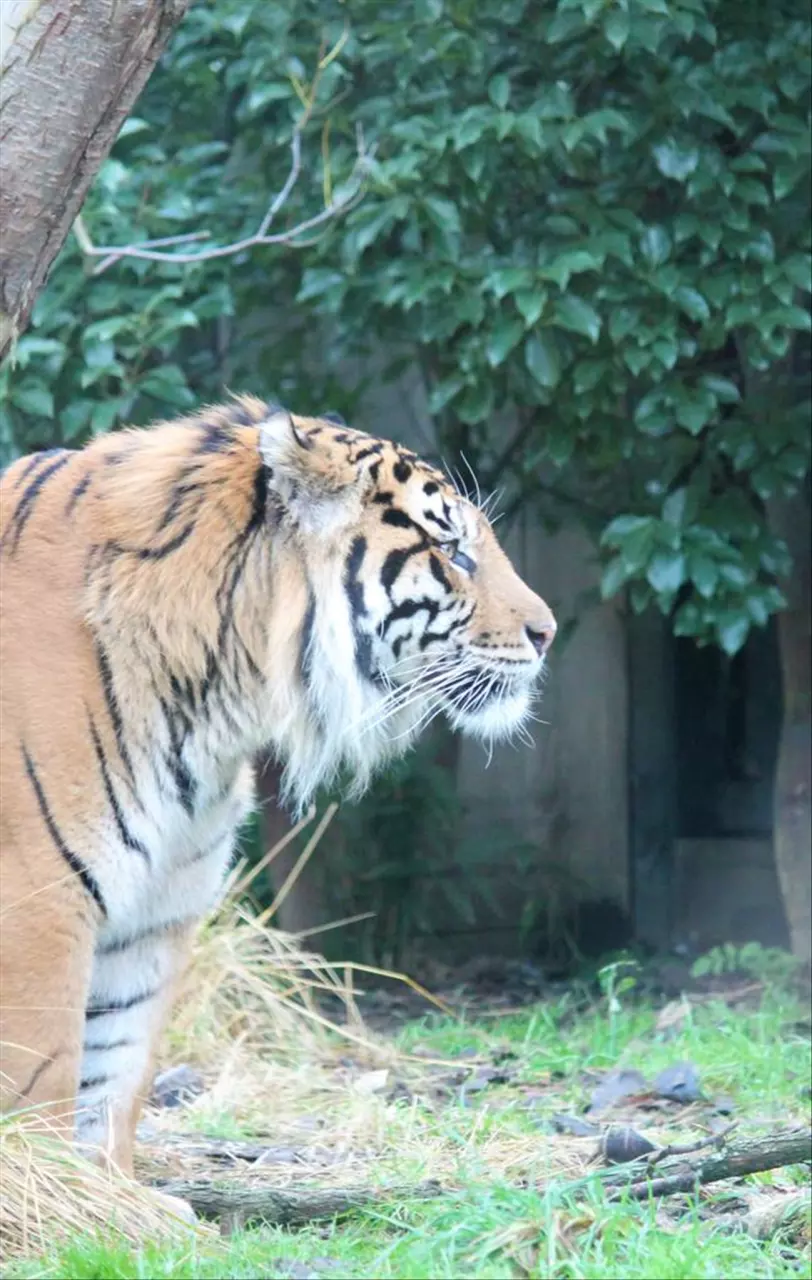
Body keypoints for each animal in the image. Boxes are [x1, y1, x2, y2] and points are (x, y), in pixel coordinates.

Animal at [0, 394, 550, 1192]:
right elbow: (41, 1085)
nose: (548, 632)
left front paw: (116, 1204)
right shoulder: (39, 906)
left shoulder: (153, 916)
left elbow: (110, 1082)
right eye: (452, 550)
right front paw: (52, 1202)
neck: (213, 706)